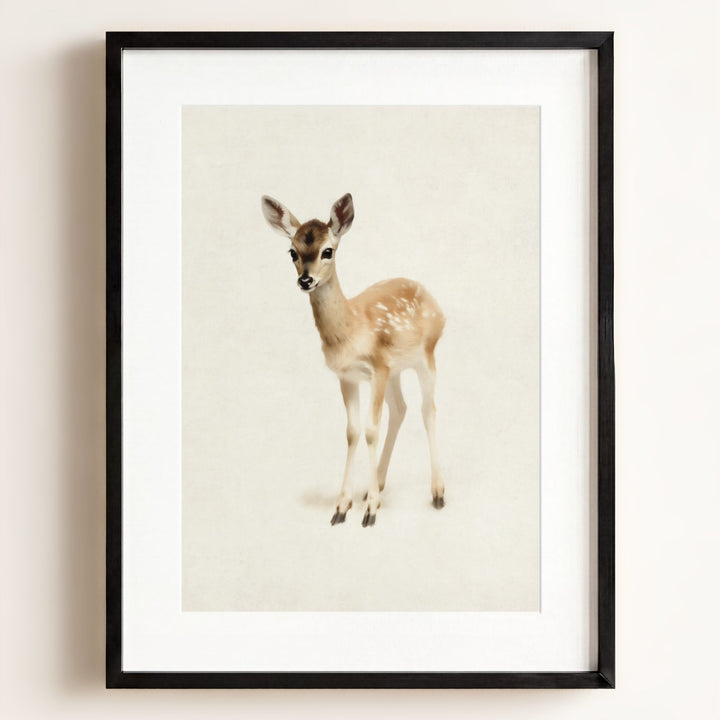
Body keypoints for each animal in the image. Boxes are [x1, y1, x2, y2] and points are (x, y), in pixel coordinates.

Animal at [261, 193, 445, 527]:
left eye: (328, 250)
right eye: (292, 251)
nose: (305, 280)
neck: (351, 331)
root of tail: (435, 302)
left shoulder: (377, 368)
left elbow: (371, 430)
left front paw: (370, 511)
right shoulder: (348, 375)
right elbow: (353, 432)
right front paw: (342, 506)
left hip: (426, 355)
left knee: (427, 409)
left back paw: (437, 492)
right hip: (396, 370)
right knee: (401, 408)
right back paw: (378, 485)